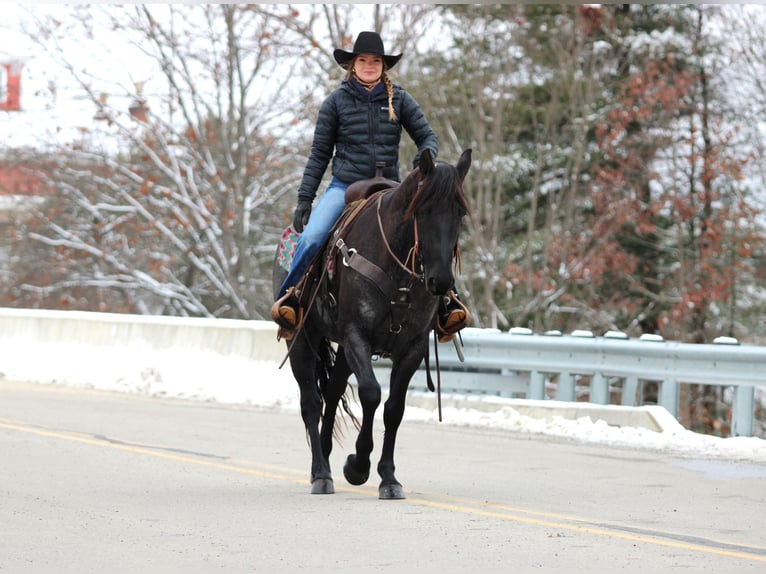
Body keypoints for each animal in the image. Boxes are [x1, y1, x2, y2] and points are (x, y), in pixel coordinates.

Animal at [272, 148, 471, 499]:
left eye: (459, 212)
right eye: (423, 208)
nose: (441, 280)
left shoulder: (412, 346)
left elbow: (394, 408)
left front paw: (389, 477)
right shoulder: (356, 336)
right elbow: (371, 394)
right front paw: (358, 465)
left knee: (333, 393)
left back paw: (326, 455)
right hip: (302, 340)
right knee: (311, 402)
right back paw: (320, 472)